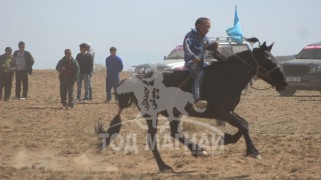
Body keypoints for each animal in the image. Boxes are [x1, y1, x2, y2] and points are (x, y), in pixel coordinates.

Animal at [94, 41, 284, 172]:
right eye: (268, 59)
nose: (284, 81)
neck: (227, 76)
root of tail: (139, 80)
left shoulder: (227, 111)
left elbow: (243, 125)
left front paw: (226, 139)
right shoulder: (222, 111)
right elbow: (244, 124)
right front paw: (253, 151)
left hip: (173, 113)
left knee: (175, 132)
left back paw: (197, 151)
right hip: (152, 115)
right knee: (153, 139)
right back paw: (165, 166)